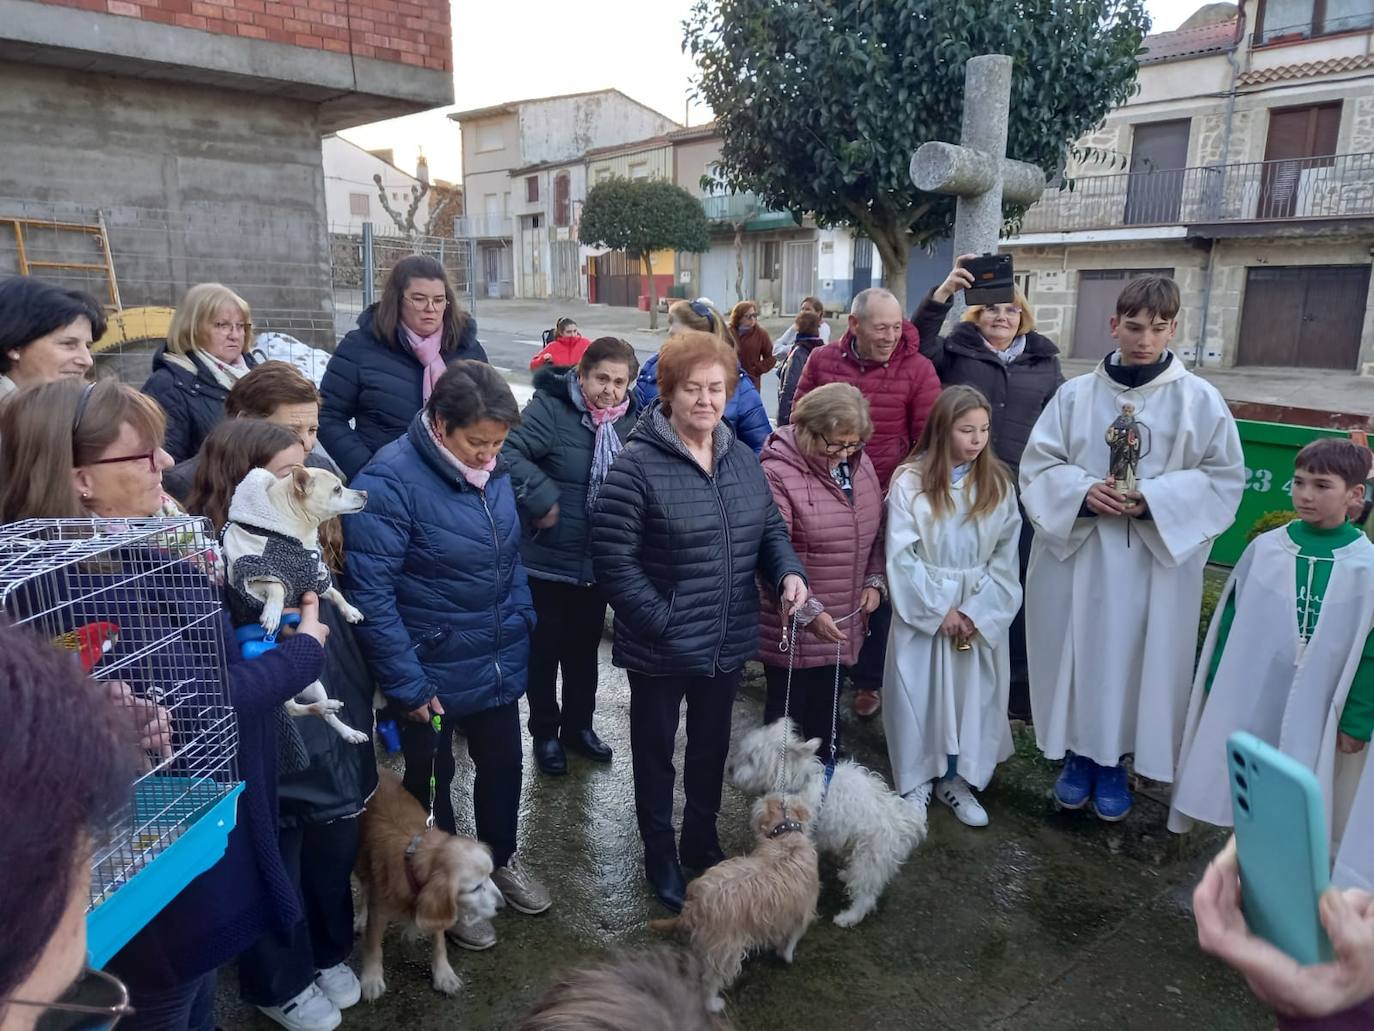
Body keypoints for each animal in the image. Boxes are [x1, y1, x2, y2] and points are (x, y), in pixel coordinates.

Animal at [351, 769, 502, 1000]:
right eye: (475, 888)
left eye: (489, 876)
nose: (502, 905)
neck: (414, 858)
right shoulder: (380, 910)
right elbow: (374, 945)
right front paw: (372, 978)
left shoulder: (437, 907)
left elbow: (439, 943)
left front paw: (443, 974)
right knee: (365, 889)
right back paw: (360, 917)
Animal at [651, 797, 813, 1011]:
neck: (786, 837)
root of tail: (696, 905)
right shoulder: (801, 913)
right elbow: (792, 939)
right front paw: (787, 956)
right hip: (726, 951)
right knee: (710, 980)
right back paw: (713, 1004)